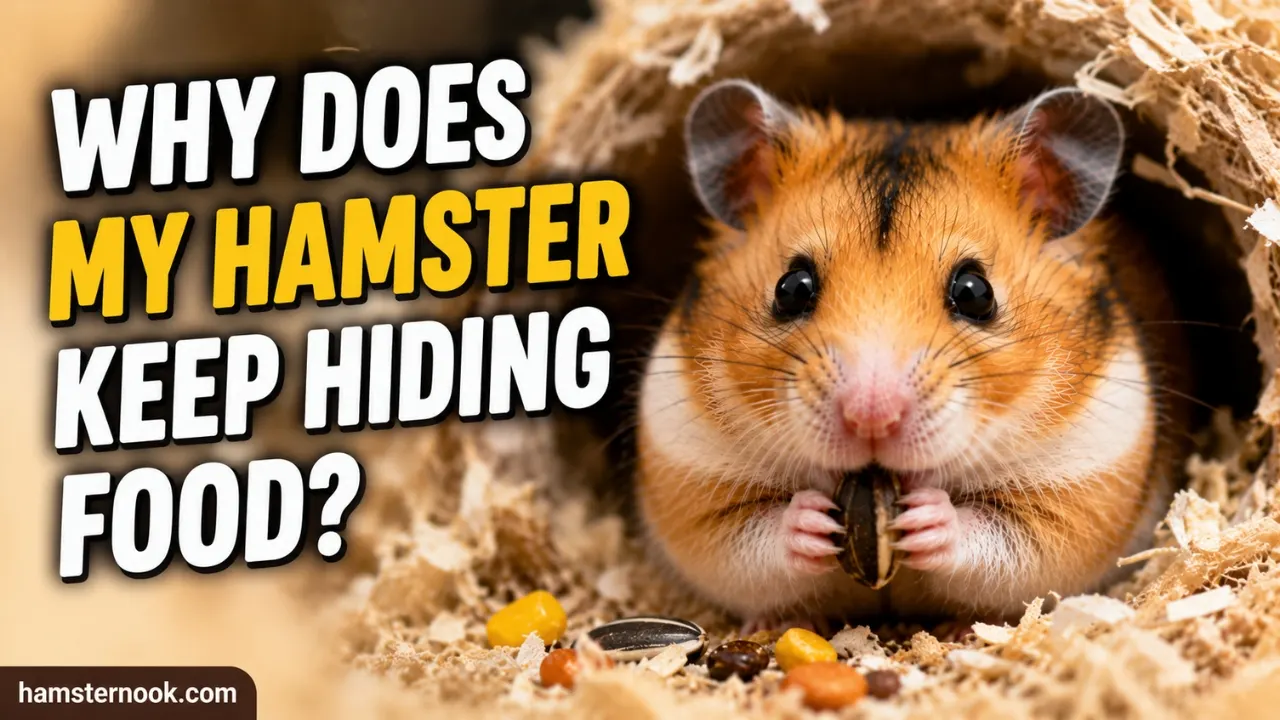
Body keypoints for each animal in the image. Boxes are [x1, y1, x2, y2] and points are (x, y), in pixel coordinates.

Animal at [634, 80, 1190, 626]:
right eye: (791, 288)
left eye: (975, 292)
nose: (871, 418)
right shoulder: (690, 478)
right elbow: (746, 539)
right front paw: (812, 521)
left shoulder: (1080, 488)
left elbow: (1008, 539)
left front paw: (926, 518)